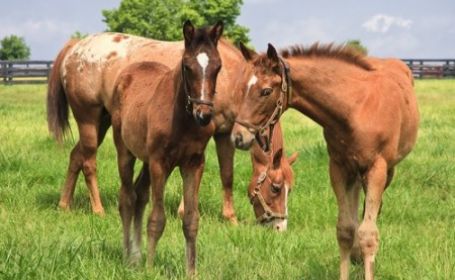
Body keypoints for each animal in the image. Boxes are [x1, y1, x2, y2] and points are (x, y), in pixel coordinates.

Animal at [47, 30, 300, 228]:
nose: (279, 226)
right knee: (89, 162)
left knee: (76, 156)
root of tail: (75, 47)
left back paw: (64, 205)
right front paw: (184, 211)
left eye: (290, 189)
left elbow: (227, 175)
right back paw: (98, 210)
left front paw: (231, 218)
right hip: (88, 119)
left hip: (103, 121)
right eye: (276, 188)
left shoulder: (224, 134)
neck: (233, 80)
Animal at [232, 42, 420, 280]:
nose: (238, 136)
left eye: (266, 91)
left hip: (387, 171)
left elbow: (368, 233)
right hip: (354, 173)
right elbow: (345, 229)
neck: (355, 108)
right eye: (242, 88)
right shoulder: (338, 167)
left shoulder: (377, 168)